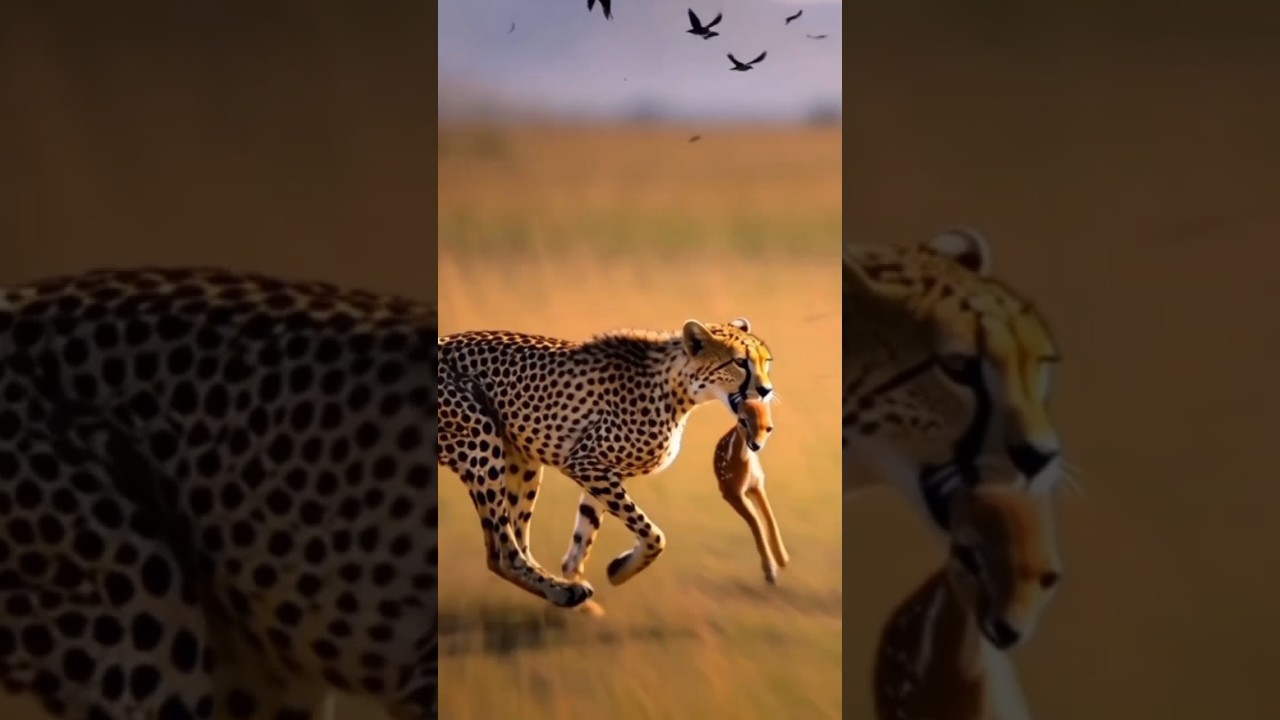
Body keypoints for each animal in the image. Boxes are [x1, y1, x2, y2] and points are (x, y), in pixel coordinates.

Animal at [436, 318, 774, 613]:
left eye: (765, 361)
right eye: (739, 362)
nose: (766, 390)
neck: (677, 388)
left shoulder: (603, 472)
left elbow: (584, 536)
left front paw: (582, 574)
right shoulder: (585, 462)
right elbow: (654, 535)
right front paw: (619, 570)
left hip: (522, 457)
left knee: (515, 541)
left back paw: (561, 590)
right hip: (481, 436)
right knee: (502, 551)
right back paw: (563, 593)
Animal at [713, 397, 789, 584]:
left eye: (769, 428)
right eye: (743, 421)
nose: (756, 445)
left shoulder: (757, 484)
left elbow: (769, 517)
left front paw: (782, 558)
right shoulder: (731, 491)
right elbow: (756, 522)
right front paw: (770, 571)